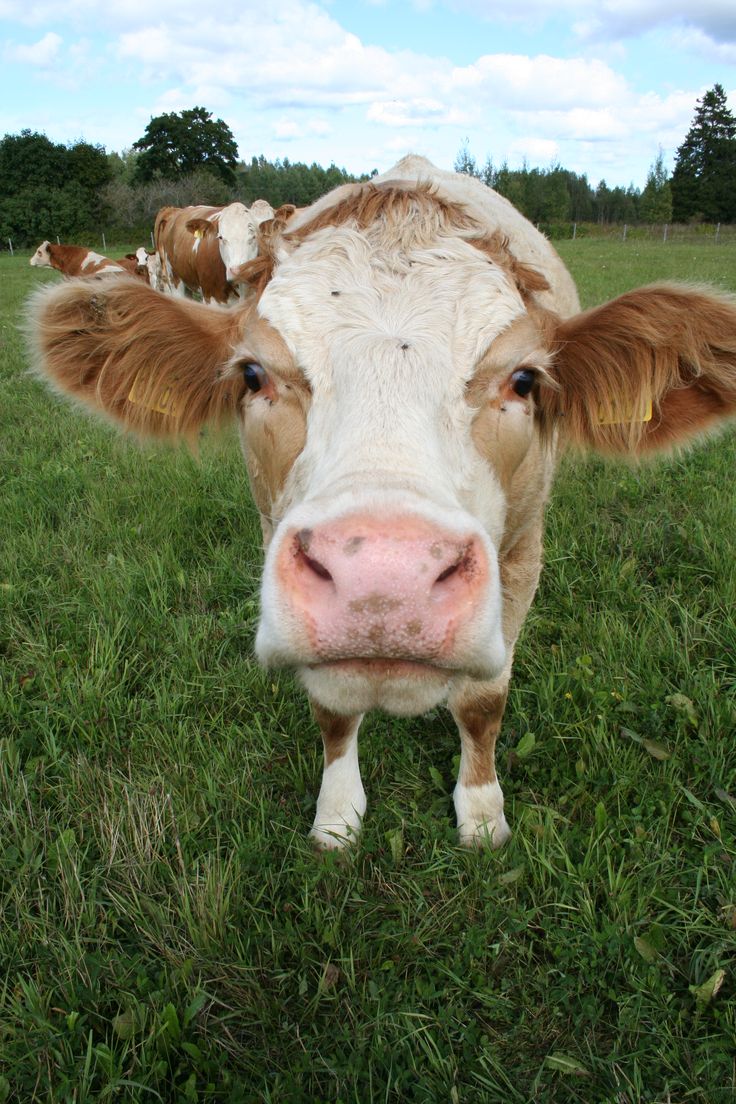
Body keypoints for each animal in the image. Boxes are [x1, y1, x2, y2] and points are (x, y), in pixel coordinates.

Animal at [24, 155, 736, 847]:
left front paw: (482, 815)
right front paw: (337, 817)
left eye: (525, 379)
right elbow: (333, 710)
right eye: (252, 375)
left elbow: (482, 701)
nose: (384, 581)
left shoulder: (523, 553)